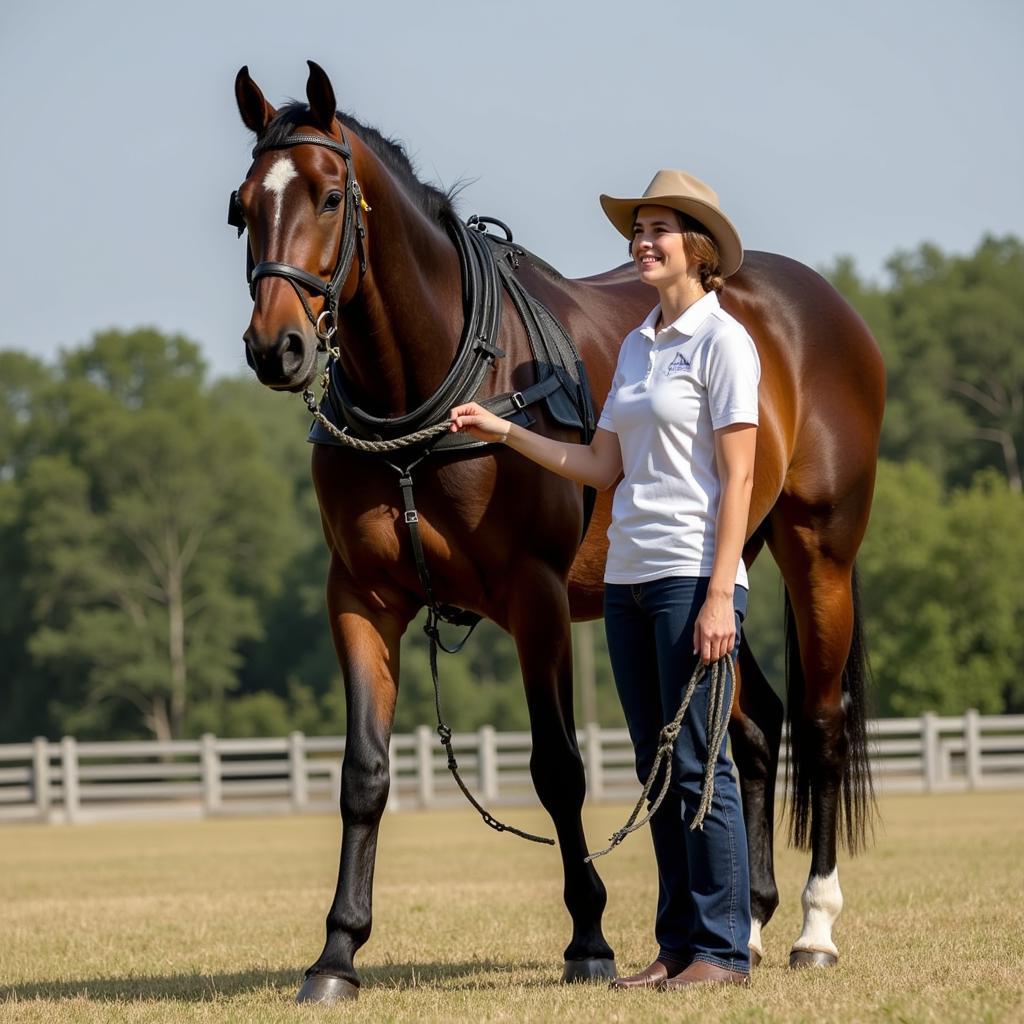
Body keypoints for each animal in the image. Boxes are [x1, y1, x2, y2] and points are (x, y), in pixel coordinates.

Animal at [228, 59, 884, 1003]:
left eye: (327, 196)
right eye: (241, 206)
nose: (274, 347)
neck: (431, 383)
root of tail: (822, 304)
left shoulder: (535, 601)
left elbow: (558, 769)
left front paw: (589, 938)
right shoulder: (358, 599)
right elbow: (364, 775)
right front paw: (336, 954)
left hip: (818, 550)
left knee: (822, 726)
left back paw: (812, 927)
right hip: (725, 573)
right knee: (754, 727)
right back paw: (749, 928)